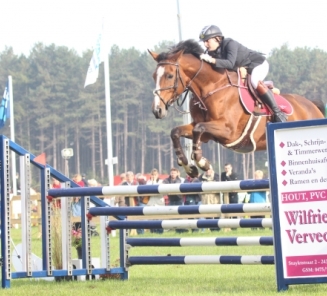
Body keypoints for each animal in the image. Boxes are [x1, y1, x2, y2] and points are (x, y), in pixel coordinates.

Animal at [149, 39, 326, 178]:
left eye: (170, 76)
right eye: (154, 76)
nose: (157, 110)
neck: (211, 88)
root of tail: (312, 105)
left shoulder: (228, 132)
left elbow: (198, 128)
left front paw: (203, 163)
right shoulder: (207, 134)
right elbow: (177, 132)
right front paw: (189, 166)